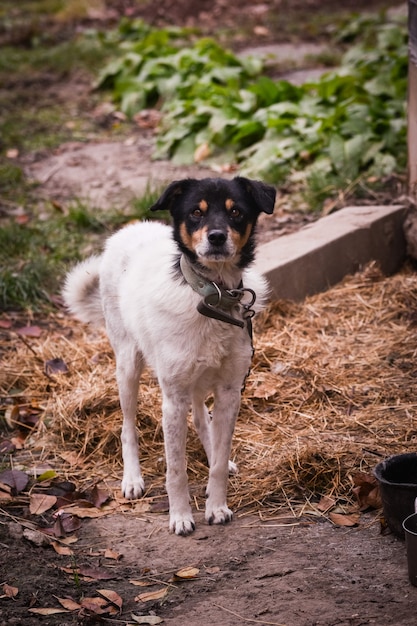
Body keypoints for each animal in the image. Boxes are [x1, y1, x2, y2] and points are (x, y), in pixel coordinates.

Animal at [63, 176, 274, 532]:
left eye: (236, 212)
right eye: (195, 213)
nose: (217, 237)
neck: (212, 297)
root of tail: (128, 229)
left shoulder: (230, 391)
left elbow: (217, 461)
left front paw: (217, 505)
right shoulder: (173, 399)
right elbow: (176, 469)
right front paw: (180, 517)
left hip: (197, 380)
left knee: (202, 418)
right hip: (128, 366)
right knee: (128, 427)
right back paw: (132, 479)